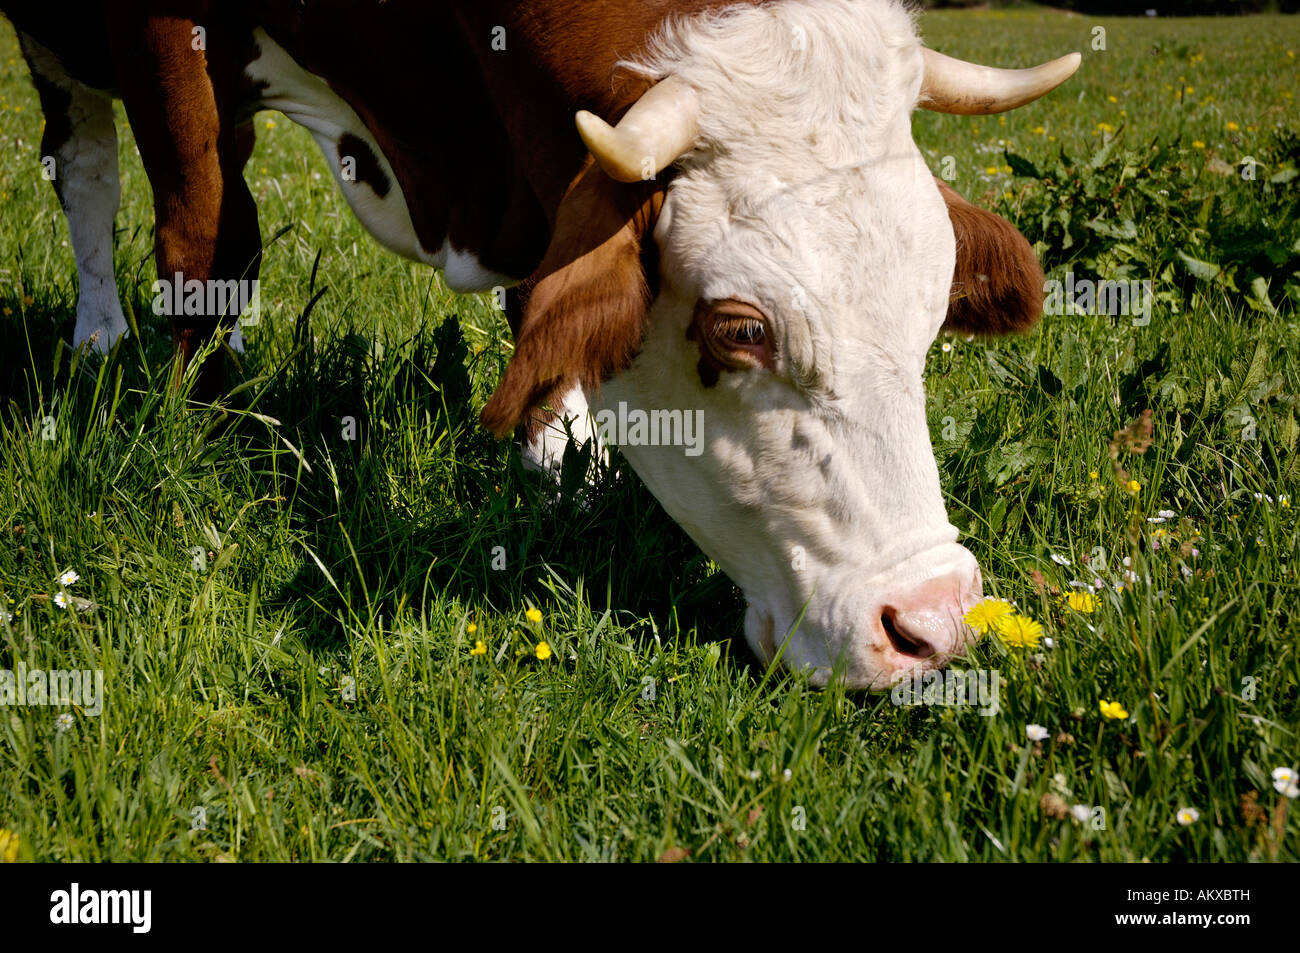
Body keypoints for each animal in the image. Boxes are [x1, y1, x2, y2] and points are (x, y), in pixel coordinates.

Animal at [2, 0, 1076, 686]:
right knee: (84, 164)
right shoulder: (162, 41)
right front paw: (202, 427)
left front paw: (561, 471)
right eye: (741, 329)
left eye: (932, 309)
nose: (934, 622)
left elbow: (544, 313)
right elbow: (209, 241)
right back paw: (99, 341)